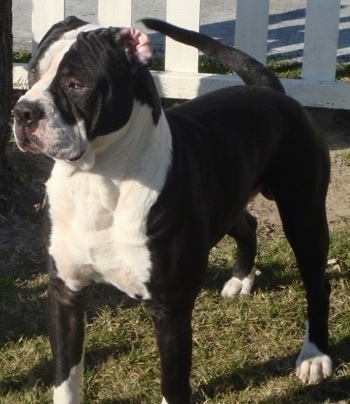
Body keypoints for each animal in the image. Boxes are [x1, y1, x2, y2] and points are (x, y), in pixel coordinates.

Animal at [12, 16, 332, 404]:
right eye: (32, 73)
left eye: (77, 84)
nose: (22, 111)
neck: (99, 179)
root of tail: (270, 90)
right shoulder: (65, 293)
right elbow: (66, 376)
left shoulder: (170, 312)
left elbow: (173, 383)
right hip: (227, 197)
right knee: (247, 224)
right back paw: (241, 278)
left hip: (304, 215)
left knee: (318, 284)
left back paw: (314, 356)